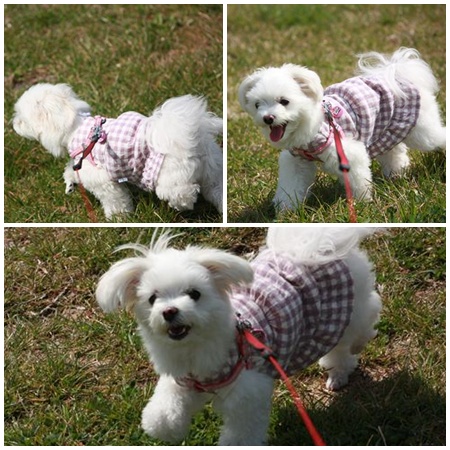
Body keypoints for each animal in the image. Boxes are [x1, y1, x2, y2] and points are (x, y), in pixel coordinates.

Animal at [13, 83, 223, 218]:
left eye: (22, 120)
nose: (13, 124)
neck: (77, 128)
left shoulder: (101, 178)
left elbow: (114, 199)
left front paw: (117, 217)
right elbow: (71, 171)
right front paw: (70, 183)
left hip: (171, 176)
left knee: (181, 191)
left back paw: (183, 203)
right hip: (212, 170)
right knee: (216, 190)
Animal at [96, 228, 382, 445]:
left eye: (194, 294)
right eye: (153, 299)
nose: (169, 311)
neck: (196, 347)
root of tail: (319, 245)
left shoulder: (247, 396)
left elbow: (241, 433)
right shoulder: (185, 381)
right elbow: (164, 412)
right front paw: (166, 427)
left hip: (347, 310)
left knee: (366, 317)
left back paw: (347, 359)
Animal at [238, 48, 446, 211]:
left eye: (284, 101)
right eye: (257, 105)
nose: (268, 118)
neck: (313, 127)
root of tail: (399, 76)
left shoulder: (347, 153)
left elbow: (358, 179)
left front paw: (362, 203)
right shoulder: (296, 160)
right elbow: (291, 185)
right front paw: (286, 208)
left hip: (422, 133)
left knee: (438, 137)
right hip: (385, 129)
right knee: (394, 152)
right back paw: (396, 174)